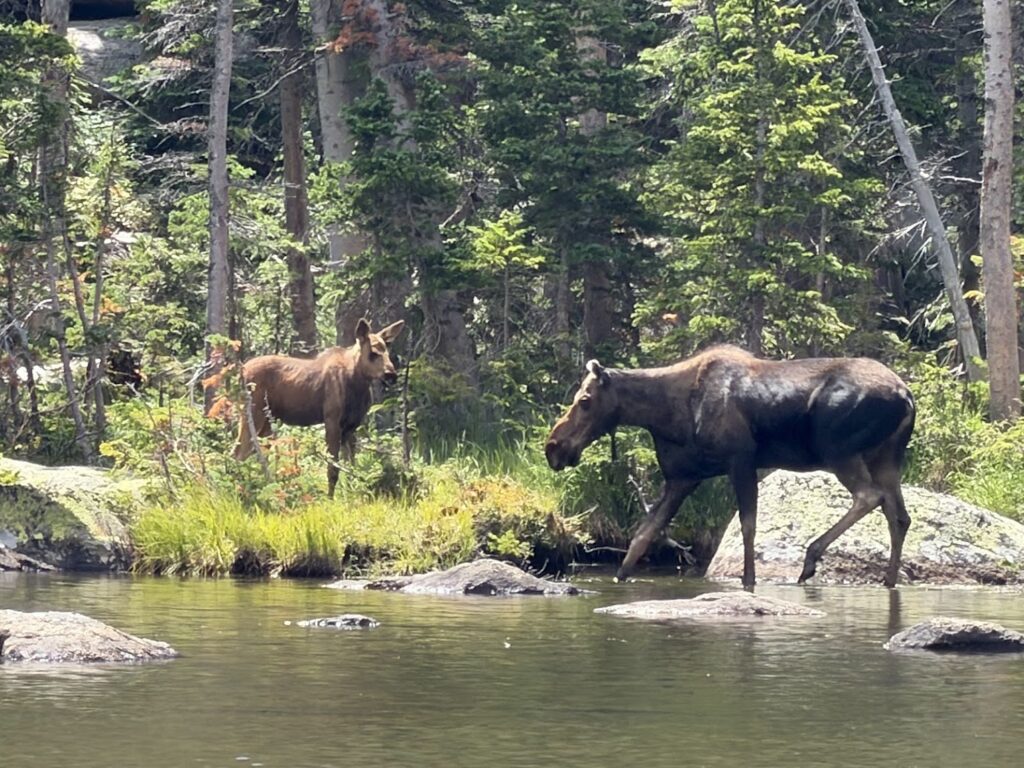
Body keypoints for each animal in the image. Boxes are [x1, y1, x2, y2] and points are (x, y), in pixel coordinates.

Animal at [233, 318, 404, 498]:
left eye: (387, 351)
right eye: (372, 353)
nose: (391, 375)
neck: (357, 385)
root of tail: (240, 372)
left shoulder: (352, 426)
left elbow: (351, 467)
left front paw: (352, 495)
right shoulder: (332, 420)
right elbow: (333, 468)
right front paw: (330, 498)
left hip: (266, 421)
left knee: (254, 454)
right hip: (253, 413)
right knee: (239, 453)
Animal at [545, 345, 916, 588]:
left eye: (585, 400)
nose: (553, 447)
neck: (664, 416)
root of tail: (906, 395)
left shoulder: (741, 460)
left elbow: (747, 525)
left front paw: (748, 581)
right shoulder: (683, 477)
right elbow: (642, 535)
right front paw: (620, 577)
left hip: (839, 451)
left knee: (870, 497)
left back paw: (810, 559)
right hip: (886, 457)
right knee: (899, 516)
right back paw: (889, 581)